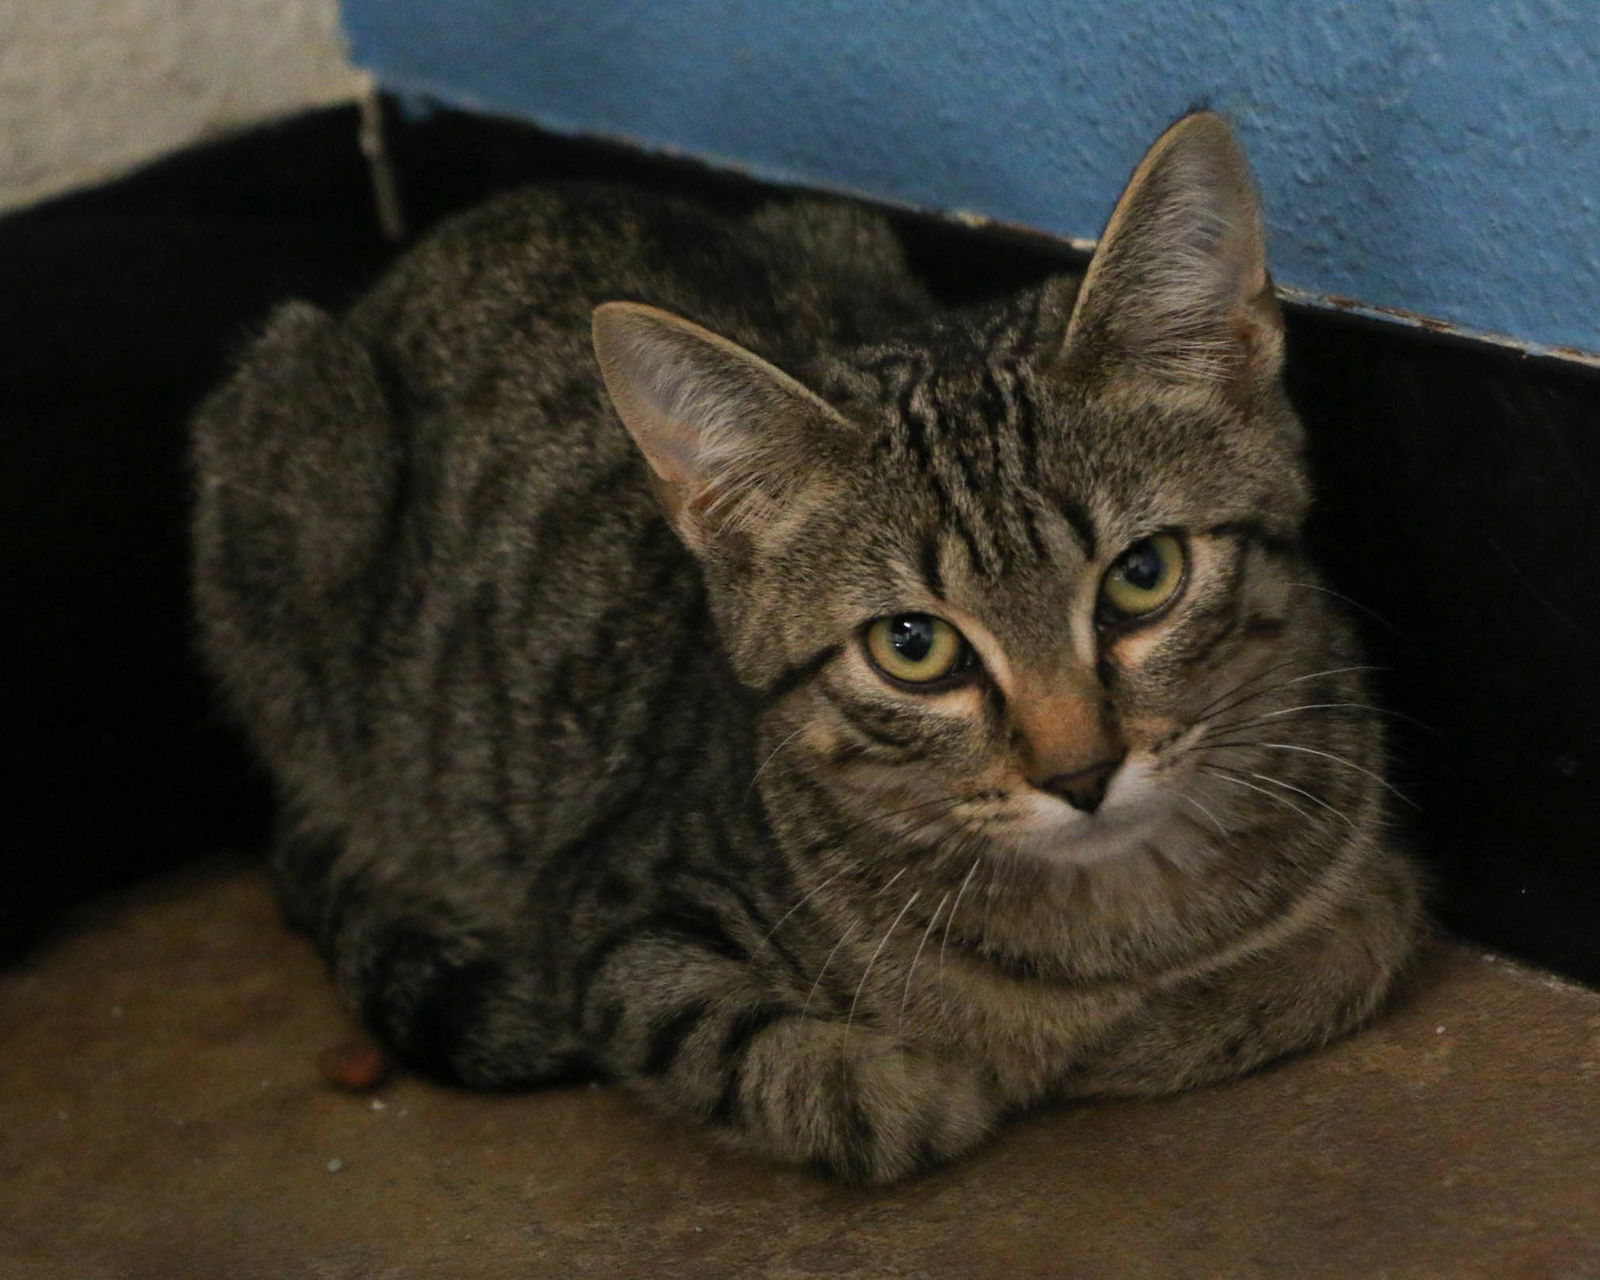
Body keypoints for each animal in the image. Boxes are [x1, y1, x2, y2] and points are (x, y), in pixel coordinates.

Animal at [190, 115, 1427, 1184]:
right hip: (300, 442)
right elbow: (808, 1073)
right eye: (912, 646)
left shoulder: (1374, 857)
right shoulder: (613, 922)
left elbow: (1353, 944)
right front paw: (949, 1069)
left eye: (1143, 574)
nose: (1080, 773)